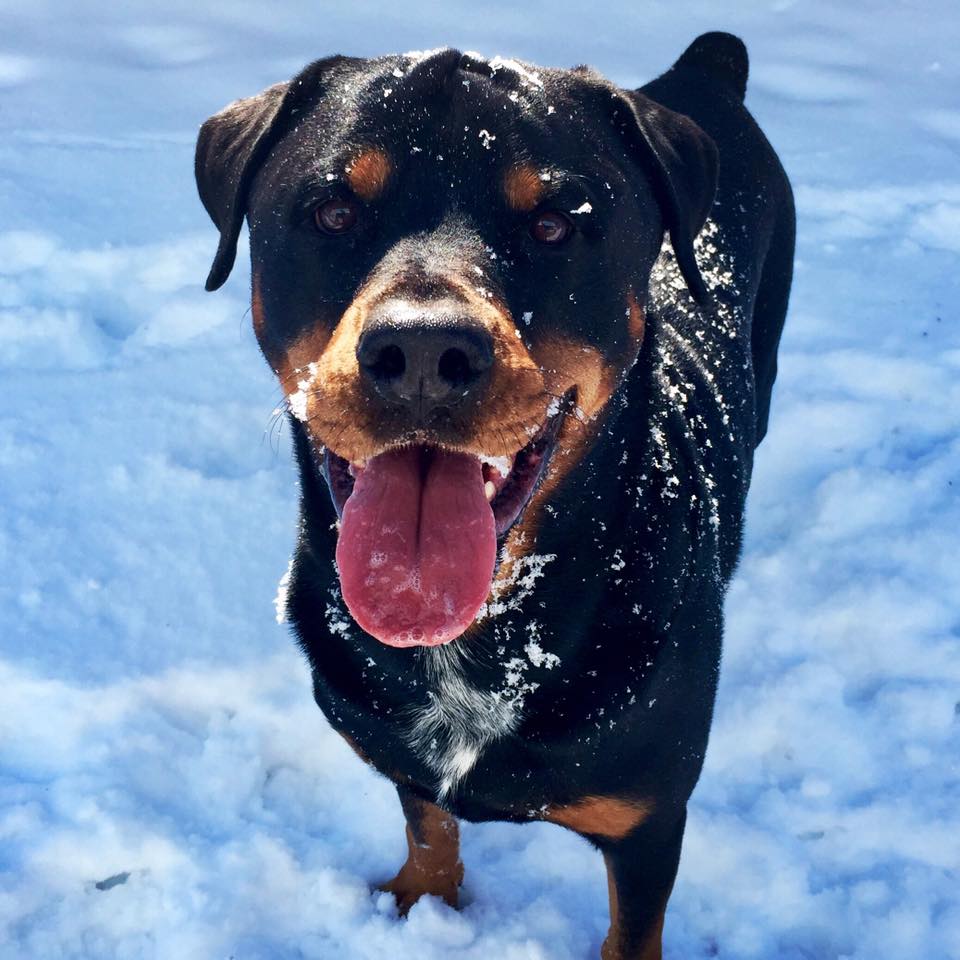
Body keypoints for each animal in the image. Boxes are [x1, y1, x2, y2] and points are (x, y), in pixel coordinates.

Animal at [195, 31, 796, 960]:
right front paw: (426, 902)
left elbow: (633, 930)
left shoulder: (650, 818)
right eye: (333, 213)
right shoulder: (401, 750)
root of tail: (707, 67)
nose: (421, 350)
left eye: (554, 225)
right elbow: (428, 822)